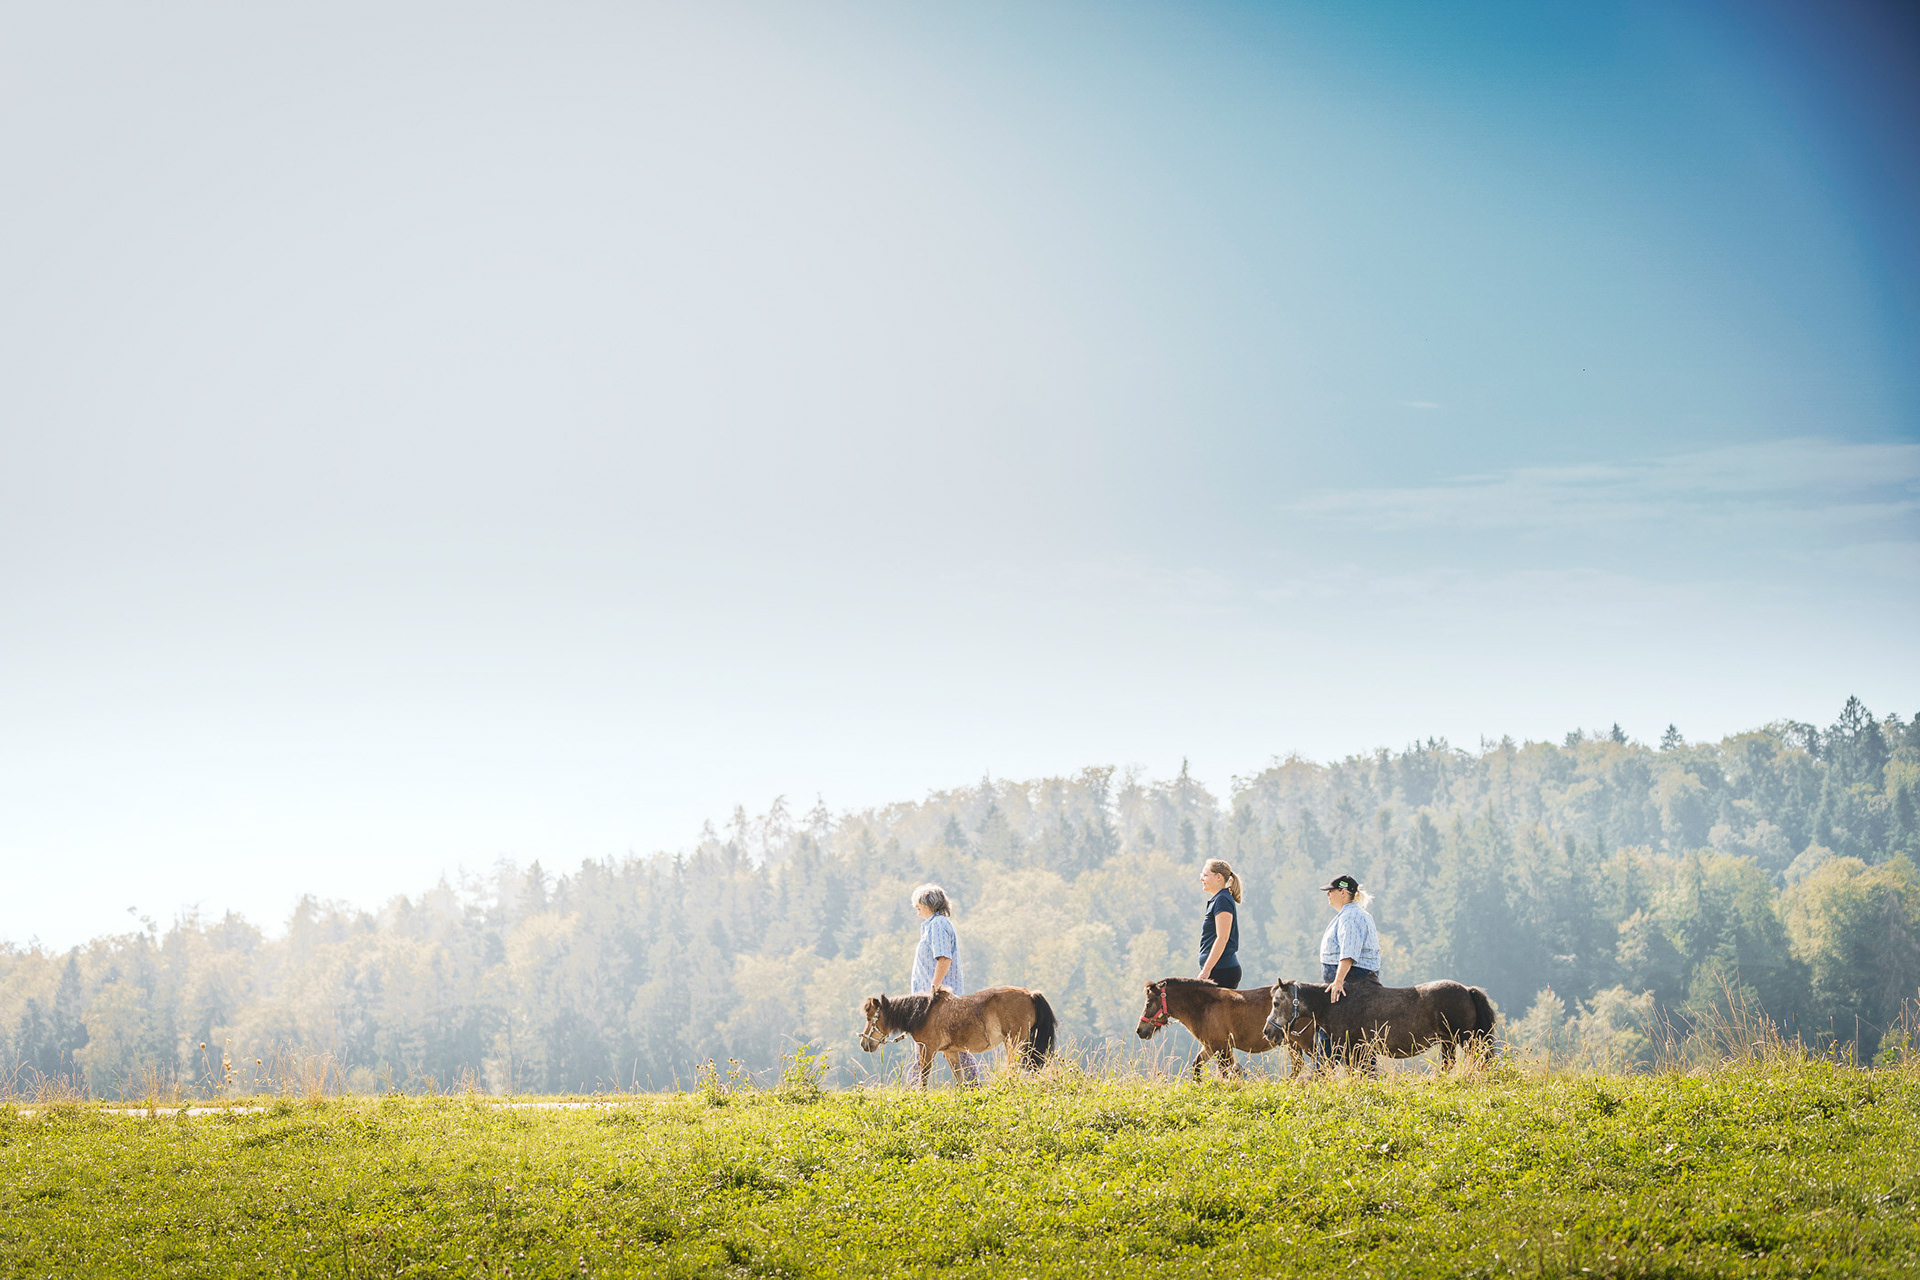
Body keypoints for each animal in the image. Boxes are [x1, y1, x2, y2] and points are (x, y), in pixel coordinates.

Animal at [858, 986, 1056, 1085]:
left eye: (870, 1018)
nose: (864, 1044)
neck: (924, 1013)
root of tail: (1030, 995)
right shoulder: (950, 1052)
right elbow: (960, 1079)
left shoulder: (927, 1050)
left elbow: (923, 1077)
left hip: (1014, 1042)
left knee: (1012, 1068)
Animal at [1134, 978, 1316, 1080]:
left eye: (1148, 1003)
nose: (1140, 1030)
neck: (1204, 1006)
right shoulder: (1210, 1047)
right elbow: (1197, 1067)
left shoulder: (1221, 1047)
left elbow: (1228, 1072)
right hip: (1293, 1044)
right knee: (1299, 1065)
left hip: (1303, 1041)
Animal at [1262, 977, 1496, 1075]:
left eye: (1276, 1003)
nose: (1267, 1032)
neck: (1334, 1004)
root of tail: (1467, 990)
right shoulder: (1357, 1050)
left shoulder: (1346, 1047)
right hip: (1449, 1042)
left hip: (1465, 1040)